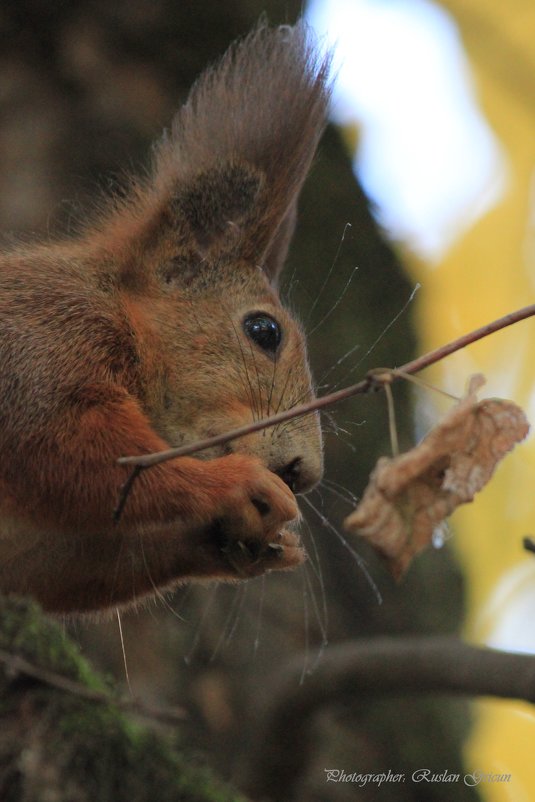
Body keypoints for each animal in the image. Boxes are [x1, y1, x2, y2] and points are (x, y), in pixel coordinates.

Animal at [0, 23, 330, 612]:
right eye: (264, 331)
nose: (304, 473)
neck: (124, 317)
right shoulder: (40, 339)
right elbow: (63, 445)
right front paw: (232, 484)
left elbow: (60, 569)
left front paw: (243, 544)